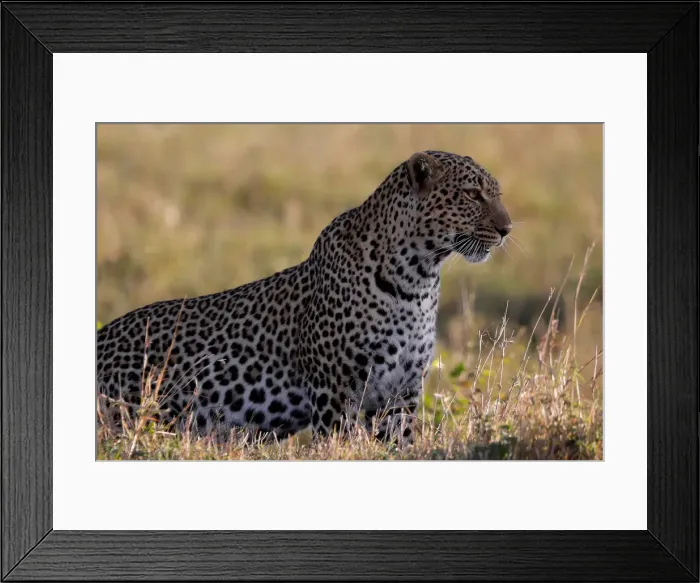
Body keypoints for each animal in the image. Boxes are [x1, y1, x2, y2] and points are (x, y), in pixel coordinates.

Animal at [97, 150, 512, 445]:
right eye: (473, 195)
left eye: (496, 195)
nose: (507, 228)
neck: (417, 279)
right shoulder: (335, 390)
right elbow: (338, 445)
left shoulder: (402, 392)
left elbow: (401, 446)